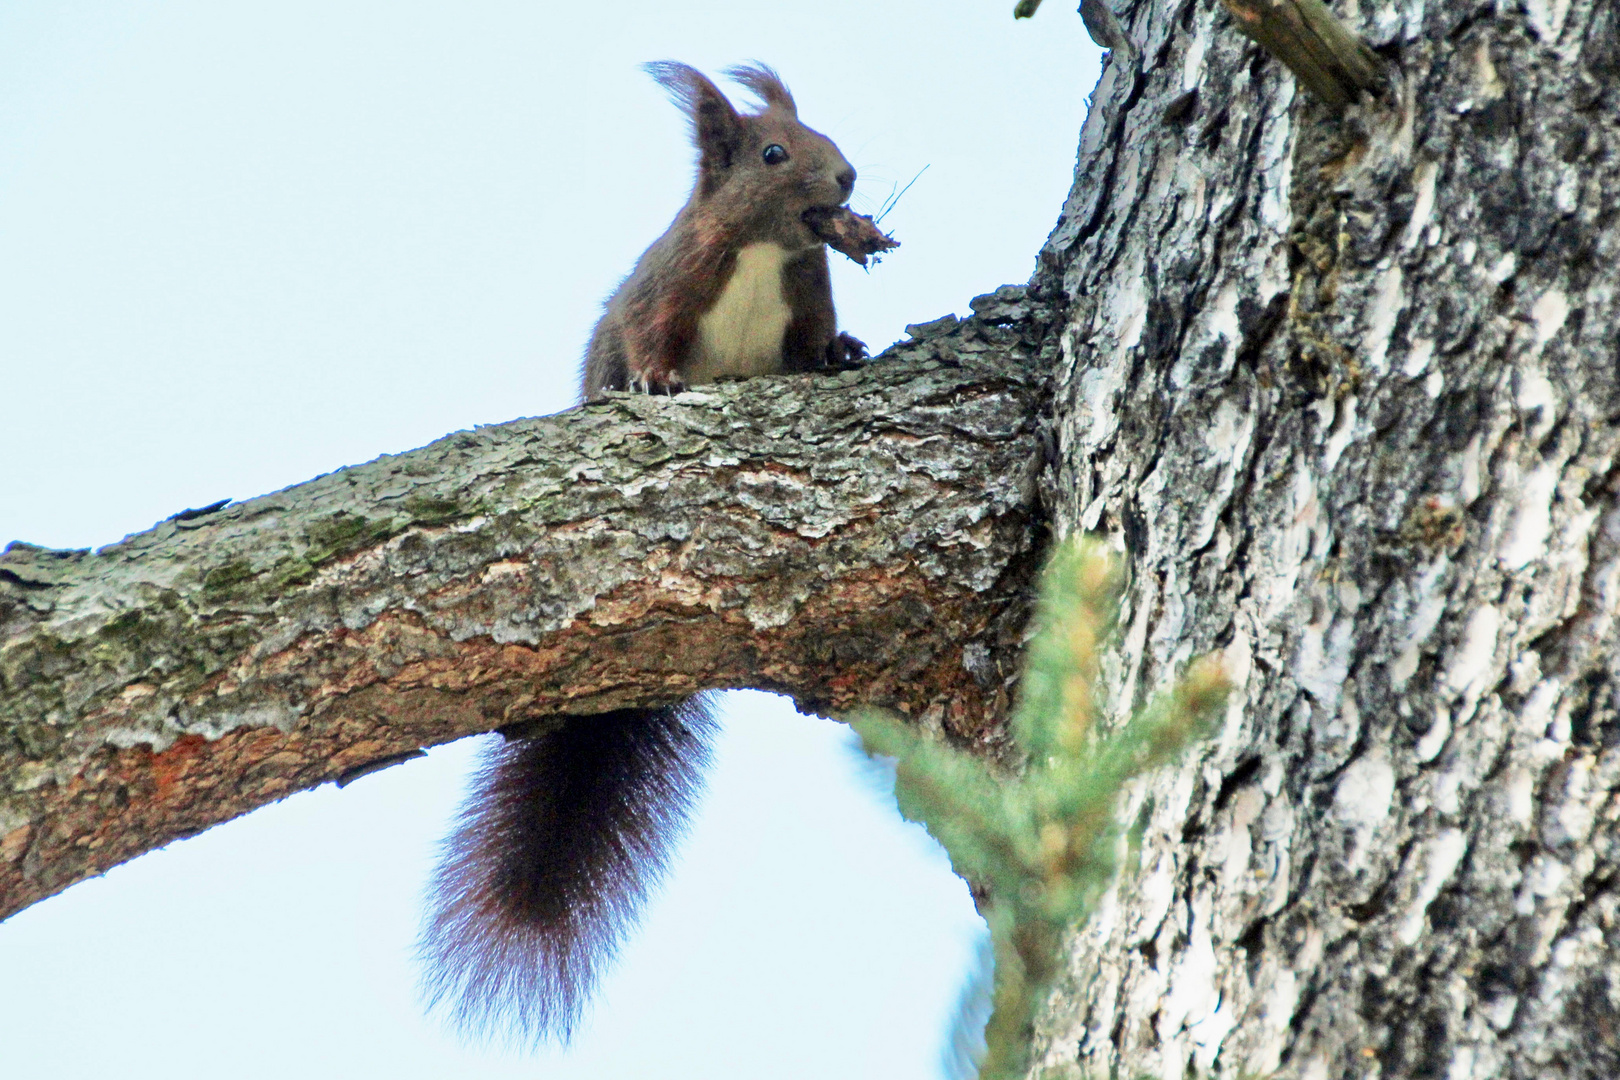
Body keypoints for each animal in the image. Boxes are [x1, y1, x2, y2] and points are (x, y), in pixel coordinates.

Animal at [424, 61, 868, 1049]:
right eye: (774, 152)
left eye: (827, 135)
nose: (849, 178)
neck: (761, 256)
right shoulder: (664, 291)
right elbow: (645, 339)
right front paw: (657, 384)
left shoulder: (808, 295)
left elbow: (813, 343)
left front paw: (841, 353)